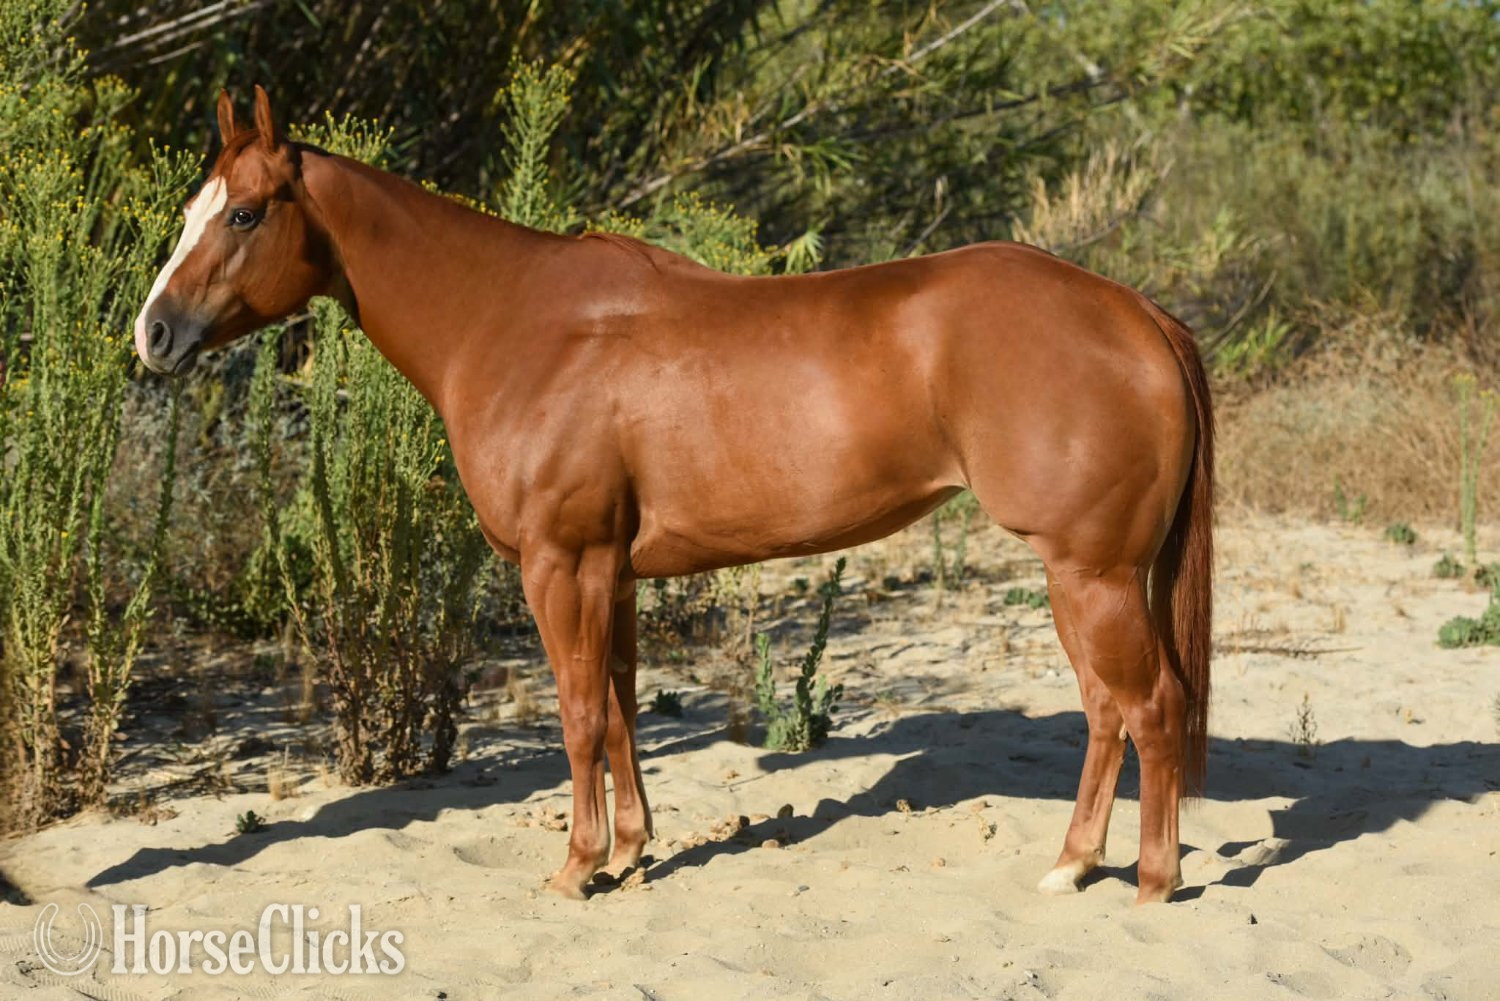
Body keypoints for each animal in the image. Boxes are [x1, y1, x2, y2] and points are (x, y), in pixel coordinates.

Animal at [134, 87, 1213, 905]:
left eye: (242, 213)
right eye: (191, 211)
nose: (152, 333)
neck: (509, 321)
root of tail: (1134, 312)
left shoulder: (560, 564)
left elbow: (576, 715)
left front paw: (575, 868)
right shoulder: (609, 571)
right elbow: (617, 707)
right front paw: (628, 851)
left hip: (1090, 571)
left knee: (1149, 705)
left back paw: (1152, 881)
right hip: (1083, 576)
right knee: (1106, 710)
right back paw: (1072, 864)